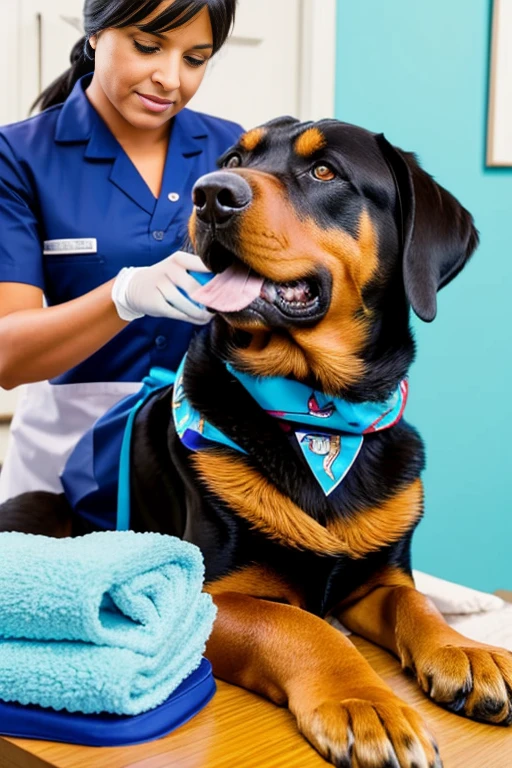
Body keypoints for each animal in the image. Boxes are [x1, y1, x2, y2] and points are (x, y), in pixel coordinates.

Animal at [2, 115, 510, 768]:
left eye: (324, 171)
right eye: (233, 160)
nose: (209, 194)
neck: (320, 417)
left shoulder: (378, 579)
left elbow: (414, 602)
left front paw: (466, 651)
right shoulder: (209, 597)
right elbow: (302, 626)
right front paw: (365, 703)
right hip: (45, 509)